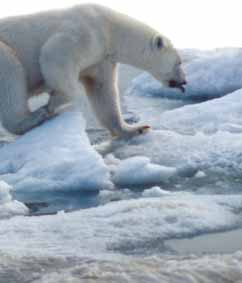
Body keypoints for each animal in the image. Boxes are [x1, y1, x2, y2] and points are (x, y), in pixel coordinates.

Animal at [0, 3, 186, 139]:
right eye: (179, 62)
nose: (184, 81)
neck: (110, 29)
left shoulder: (101, 59)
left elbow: (103, 91)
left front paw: (136, 128)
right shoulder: (85, 33)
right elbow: (53, 53)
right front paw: (52, 103)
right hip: (4, 52)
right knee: (11, 74)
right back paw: (34, 117)